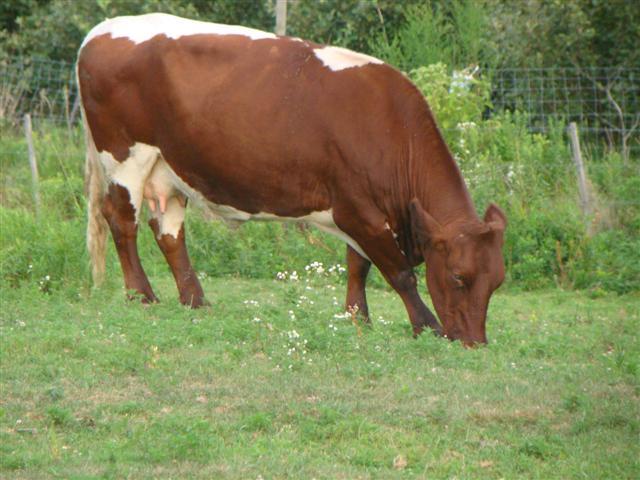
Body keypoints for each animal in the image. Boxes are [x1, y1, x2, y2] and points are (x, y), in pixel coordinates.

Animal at [77, 13, 506, 346]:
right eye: (459, 276)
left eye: (497, 281)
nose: (476, 343)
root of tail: (102, 29)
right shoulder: (357, 209)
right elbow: (399, 272)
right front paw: (427, 325)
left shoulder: (364, 211)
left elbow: (358, 263)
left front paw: (357, 317)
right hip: (125, 157)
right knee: (121, 221)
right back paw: (141, 295)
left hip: (168, 167)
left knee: (168, 230)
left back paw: (195, 300)